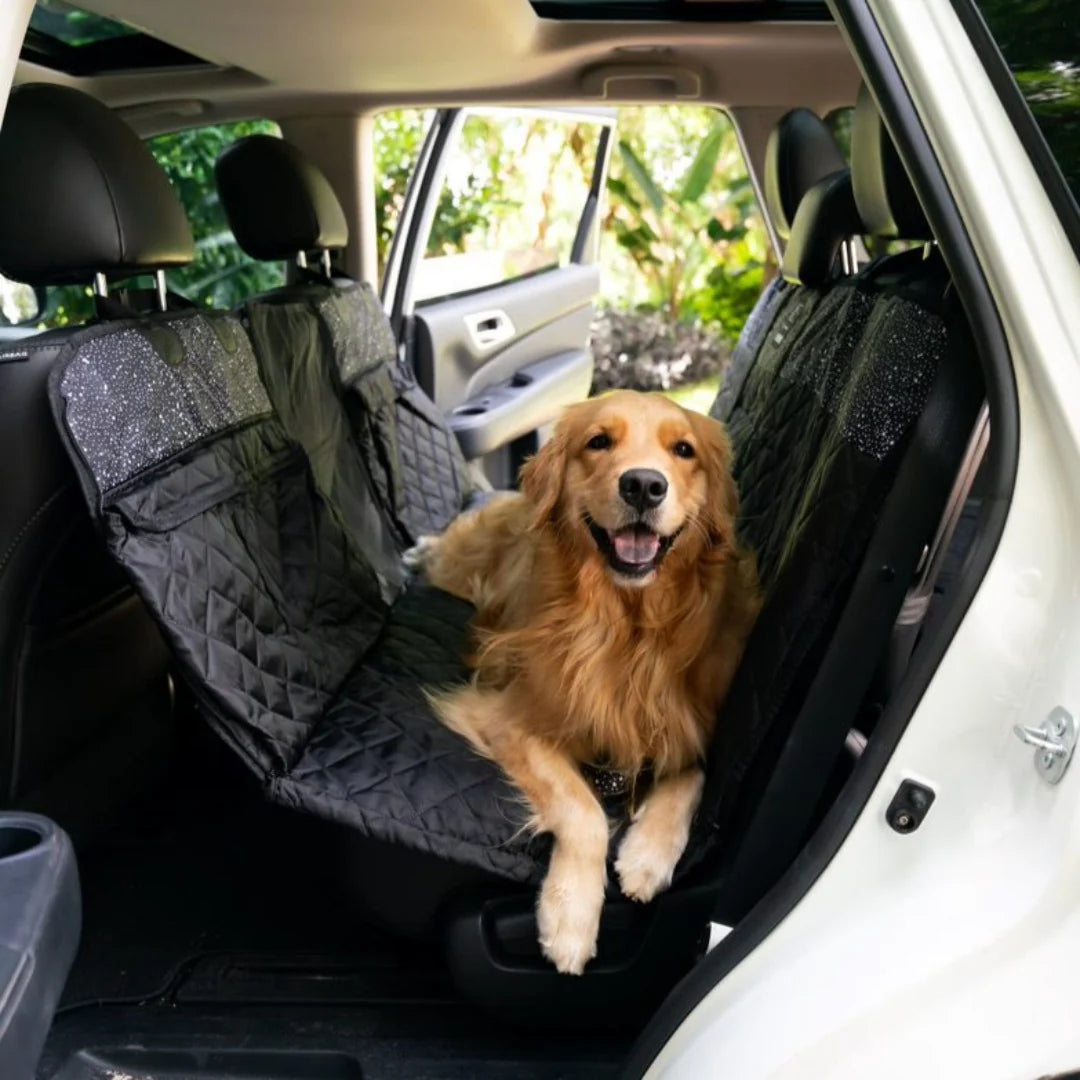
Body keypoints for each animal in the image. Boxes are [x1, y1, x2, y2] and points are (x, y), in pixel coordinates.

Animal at [410, 393, 760, 976]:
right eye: (599, 442)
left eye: (683, 450)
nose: (643, 485)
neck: (627, 627)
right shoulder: (509, 716)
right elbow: (583, 810)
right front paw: (570, 916)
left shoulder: (691, 722)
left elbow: (692, 773)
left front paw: (648, 853)